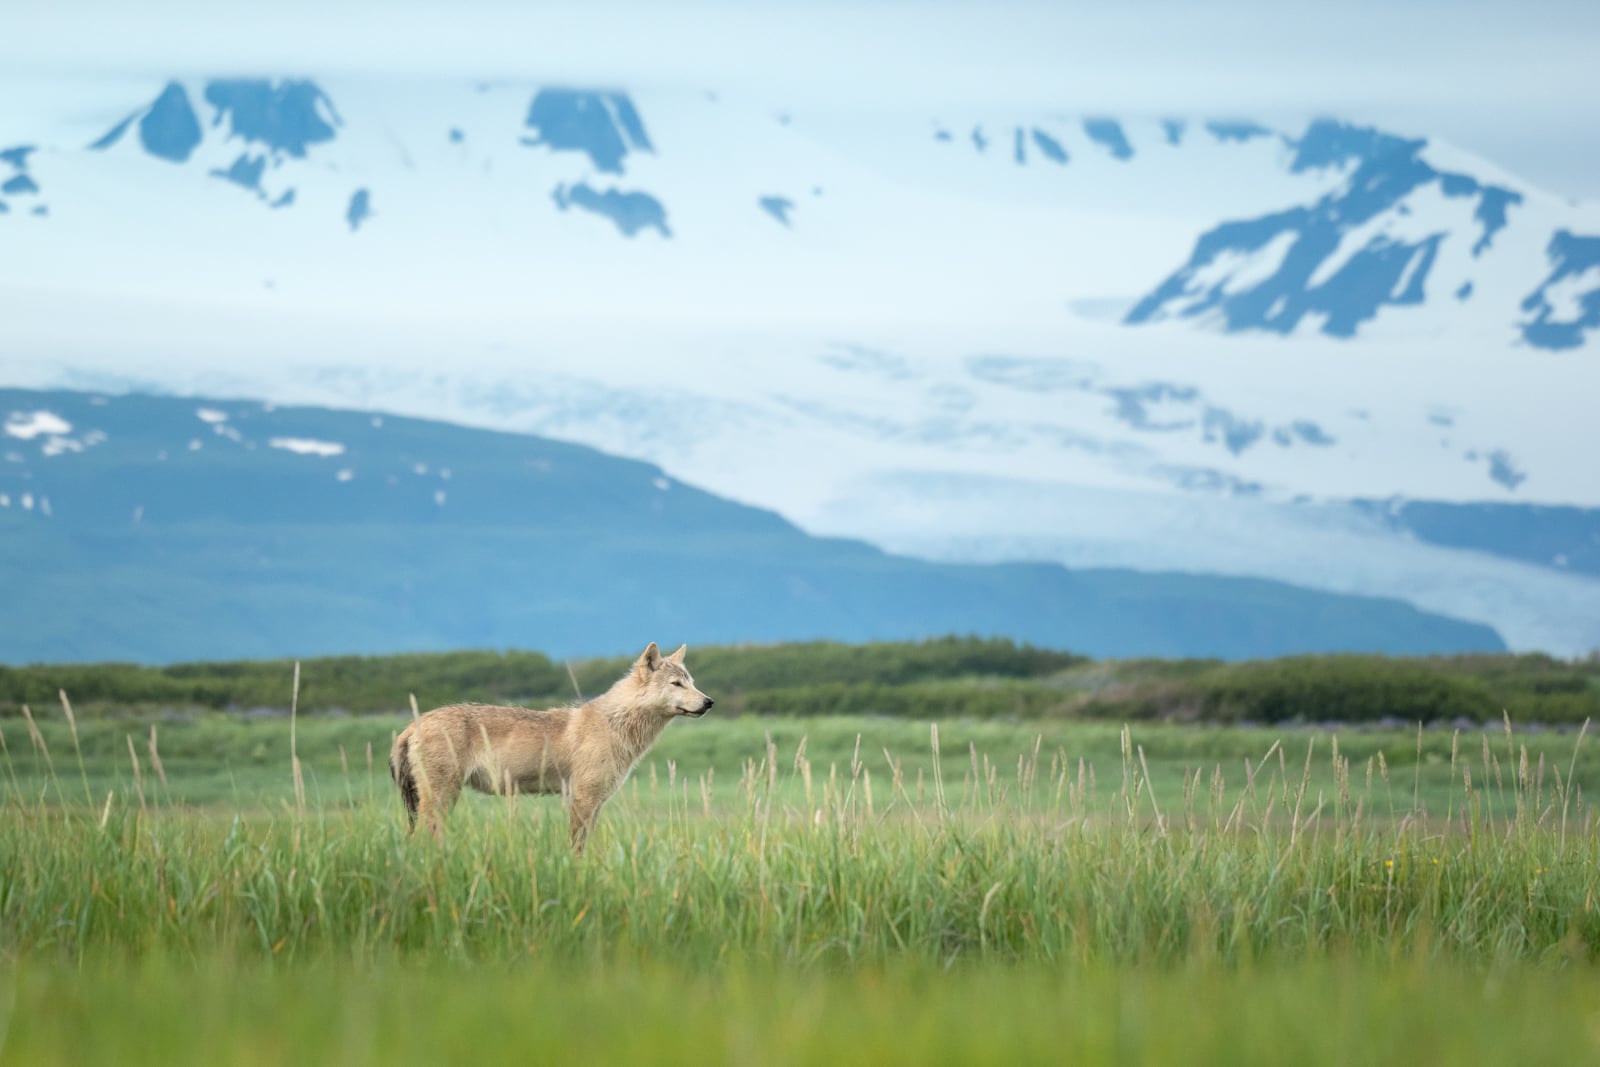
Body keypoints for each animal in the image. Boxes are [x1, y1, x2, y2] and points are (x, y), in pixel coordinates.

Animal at [388, 642, 712, 850]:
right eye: (676, 684)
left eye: (692, 683)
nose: (709, 702)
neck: (615, 724)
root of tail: (411, 725)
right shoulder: (583, 799)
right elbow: (576, 849)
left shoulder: (596, 804)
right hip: (441, 800)